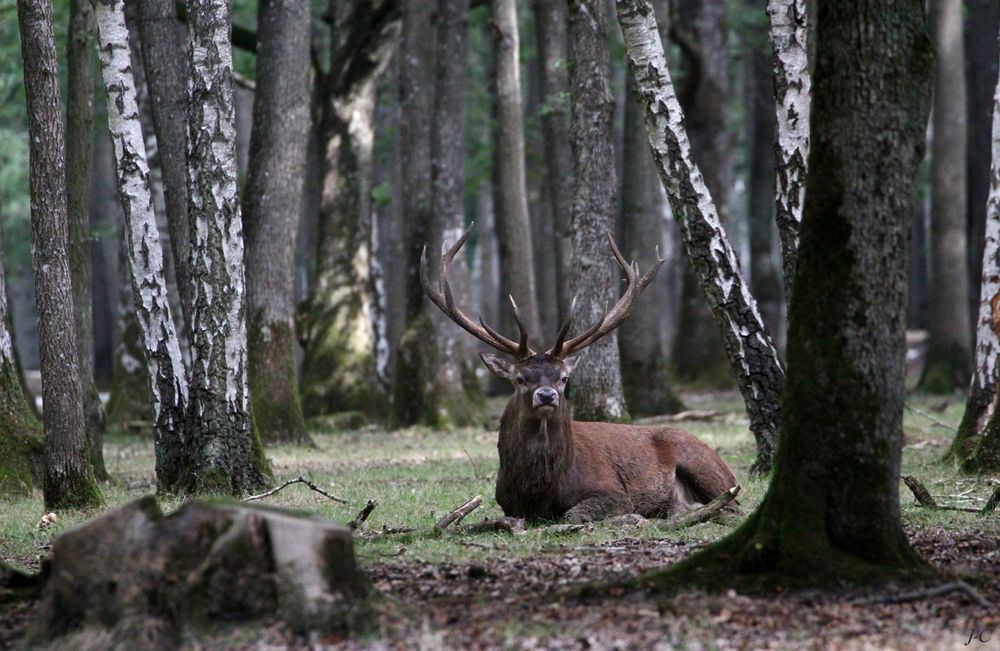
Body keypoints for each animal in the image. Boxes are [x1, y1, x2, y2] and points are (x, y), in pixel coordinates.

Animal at [418, 227, 740, 524]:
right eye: (520, 378)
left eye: (563, 378)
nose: (546, 395)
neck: (537, 490)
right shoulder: (506, 503)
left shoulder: (614, 492)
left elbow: (571, 515)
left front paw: (631, 517)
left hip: (707, 465)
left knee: (731, 505)